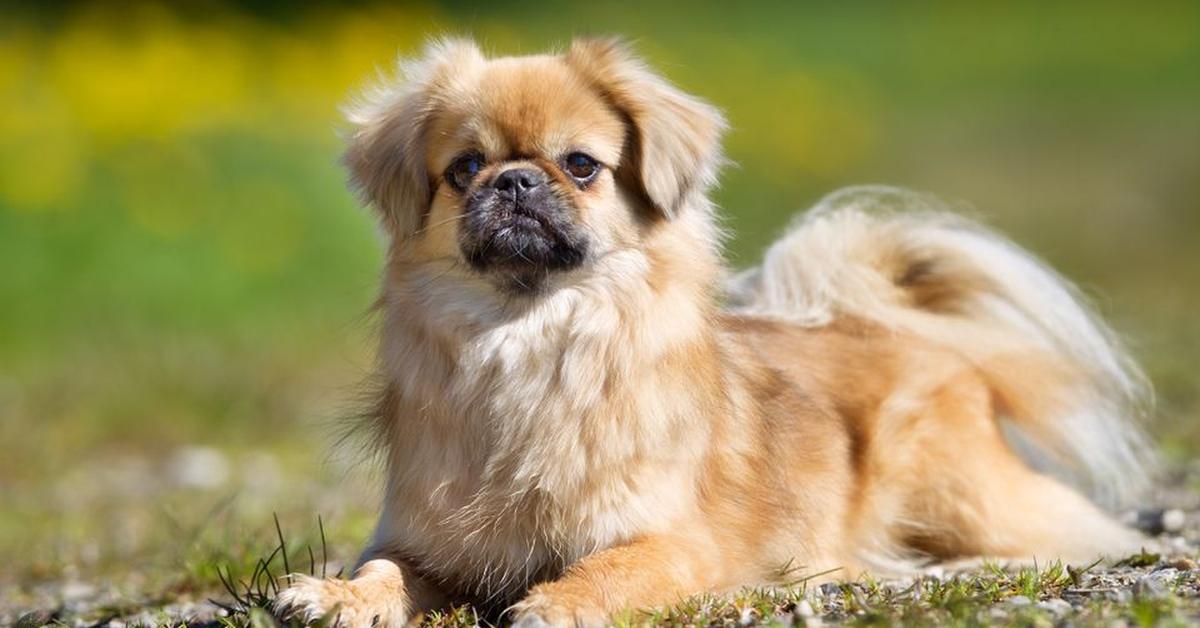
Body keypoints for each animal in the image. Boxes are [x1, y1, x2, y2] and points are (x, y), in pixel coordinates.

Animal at [276, 36, 1156, 624]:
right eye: (464, 170)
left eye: (581, 164)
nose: (516, 180)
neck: (530, 338)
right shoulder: (423, 541)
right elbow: (386, 571)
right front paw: (334, 594)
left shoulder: (669, 540)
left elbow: (612, 567)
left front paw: (558, 601)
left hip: (959, 497)